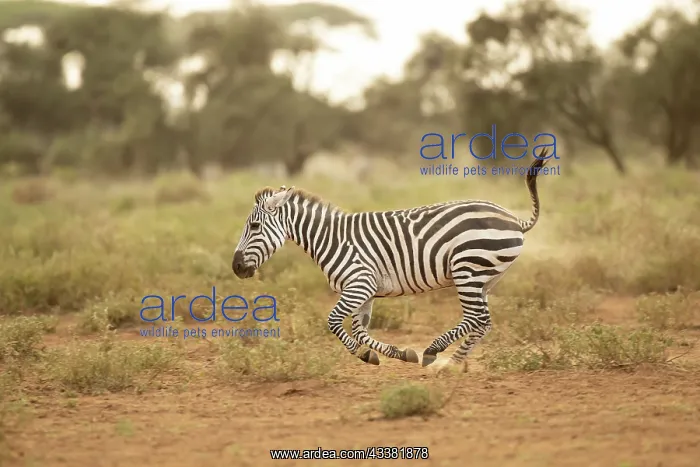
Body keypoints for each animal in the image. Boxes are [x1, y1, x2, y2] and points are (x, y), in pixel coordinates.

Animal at [232, 150, 550, 370]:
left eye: (255, 227)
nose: (236, 268)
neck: (331, 238)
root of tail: (515, 220)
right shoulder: (365, 290)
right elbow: (360, 330)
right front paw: (391, 354)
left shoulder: (359, 284)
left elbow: (334, 322)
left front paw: (366, 355)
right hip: (485, 278)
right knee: (483, 321)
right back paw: (452, 364)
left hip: (467, 269)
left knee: (476, 318)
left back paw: (436, 354)